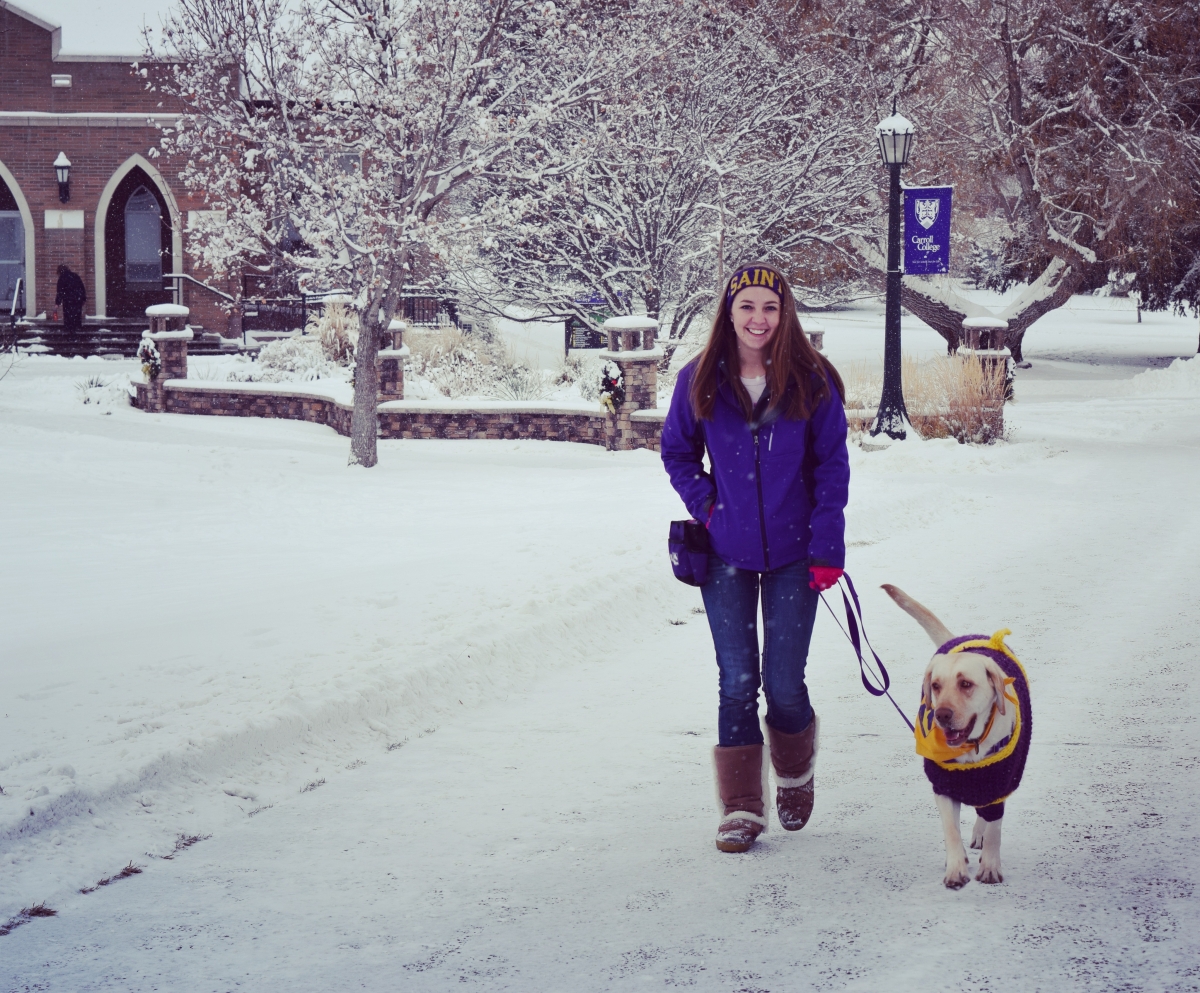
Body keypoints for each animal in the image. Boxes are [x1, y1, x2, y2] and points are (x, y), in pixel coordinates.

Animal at [883, 585, 1032, 887]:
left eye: (965, 684)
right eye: (936, 685)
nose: (941, 715)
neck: (971, 748)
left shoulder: (998, 781)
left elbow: (995, 826)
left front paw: (990, 866)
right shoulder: (943, 785)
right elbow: (951, 830)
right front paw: (955, 869)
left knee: (986, 815)